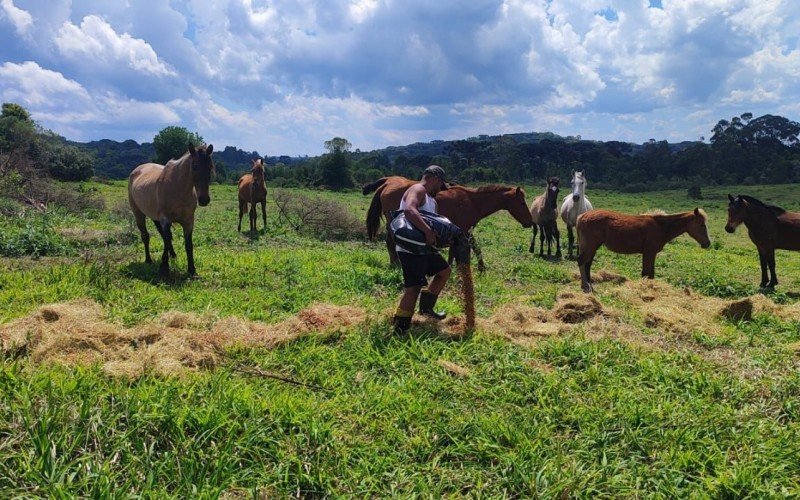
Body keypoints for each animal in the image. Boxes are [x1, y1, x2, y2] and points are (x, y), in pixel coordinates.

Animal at [126, 144, 212, 278]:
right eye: (194, 166)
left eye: (210, 167)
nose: (204, 200)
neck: (177, 188)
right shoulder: (165, 219)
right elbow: (166, 239)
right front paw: (164, 267)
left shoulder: (188, 222)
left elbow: (188, 245)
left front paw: (191, 269)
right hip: (138, 214)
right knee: (146, 236)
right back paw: (148, 260)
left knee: (162, 235)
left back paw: (172, 254)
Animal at [366, 177, 536, 268]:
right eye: (522, 202)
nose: (530, 222)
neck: (472, 202)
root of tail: (387, 183)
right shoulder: (463, 230)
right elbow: (464, 250)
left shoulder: (464, 231)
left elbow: (467, 249)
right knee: (390, 243)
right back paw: (396, 264)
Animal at [576, 208, 712, 292]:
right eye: (701, 225)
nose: (707, 243)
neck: (660, 226)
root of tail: (582, 216)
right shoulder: (648, 253)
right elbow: (646, 273)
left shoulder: (652, 254)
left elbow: (650, 274)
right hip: (590, 246)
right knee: (581, 261)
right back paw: (585, 286)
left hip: (592, 247)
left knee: (587, 264)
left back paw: (589, 284)